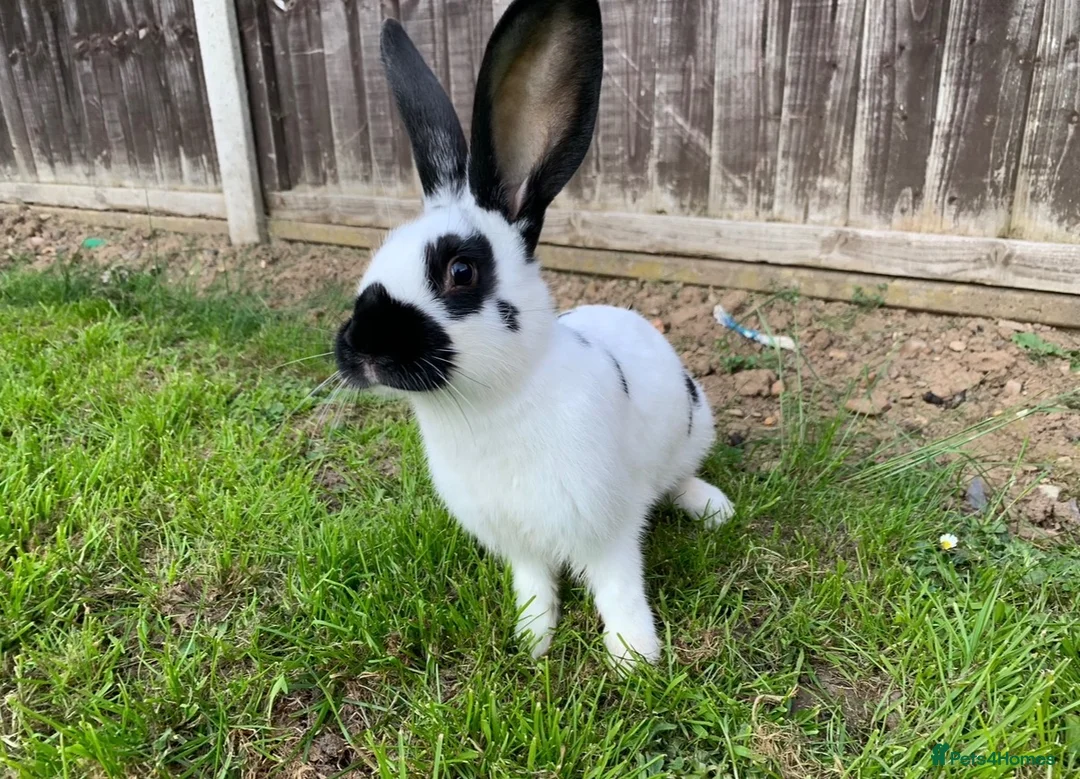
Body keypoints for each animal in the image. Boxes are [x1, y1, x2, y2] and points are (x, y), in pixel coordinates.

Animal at [333, 0, 734, 667]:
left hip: (691, 430)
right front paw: (531, 639)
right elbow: (534, 584)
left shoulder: (608, 528)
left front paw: (634, 658)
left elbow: (619, 588)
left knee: (676, 479)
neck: (488, 406)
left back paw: (713, 508)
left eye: (461, 272)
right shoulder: (516, 541)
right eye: (374, 261)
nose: (360, 347)